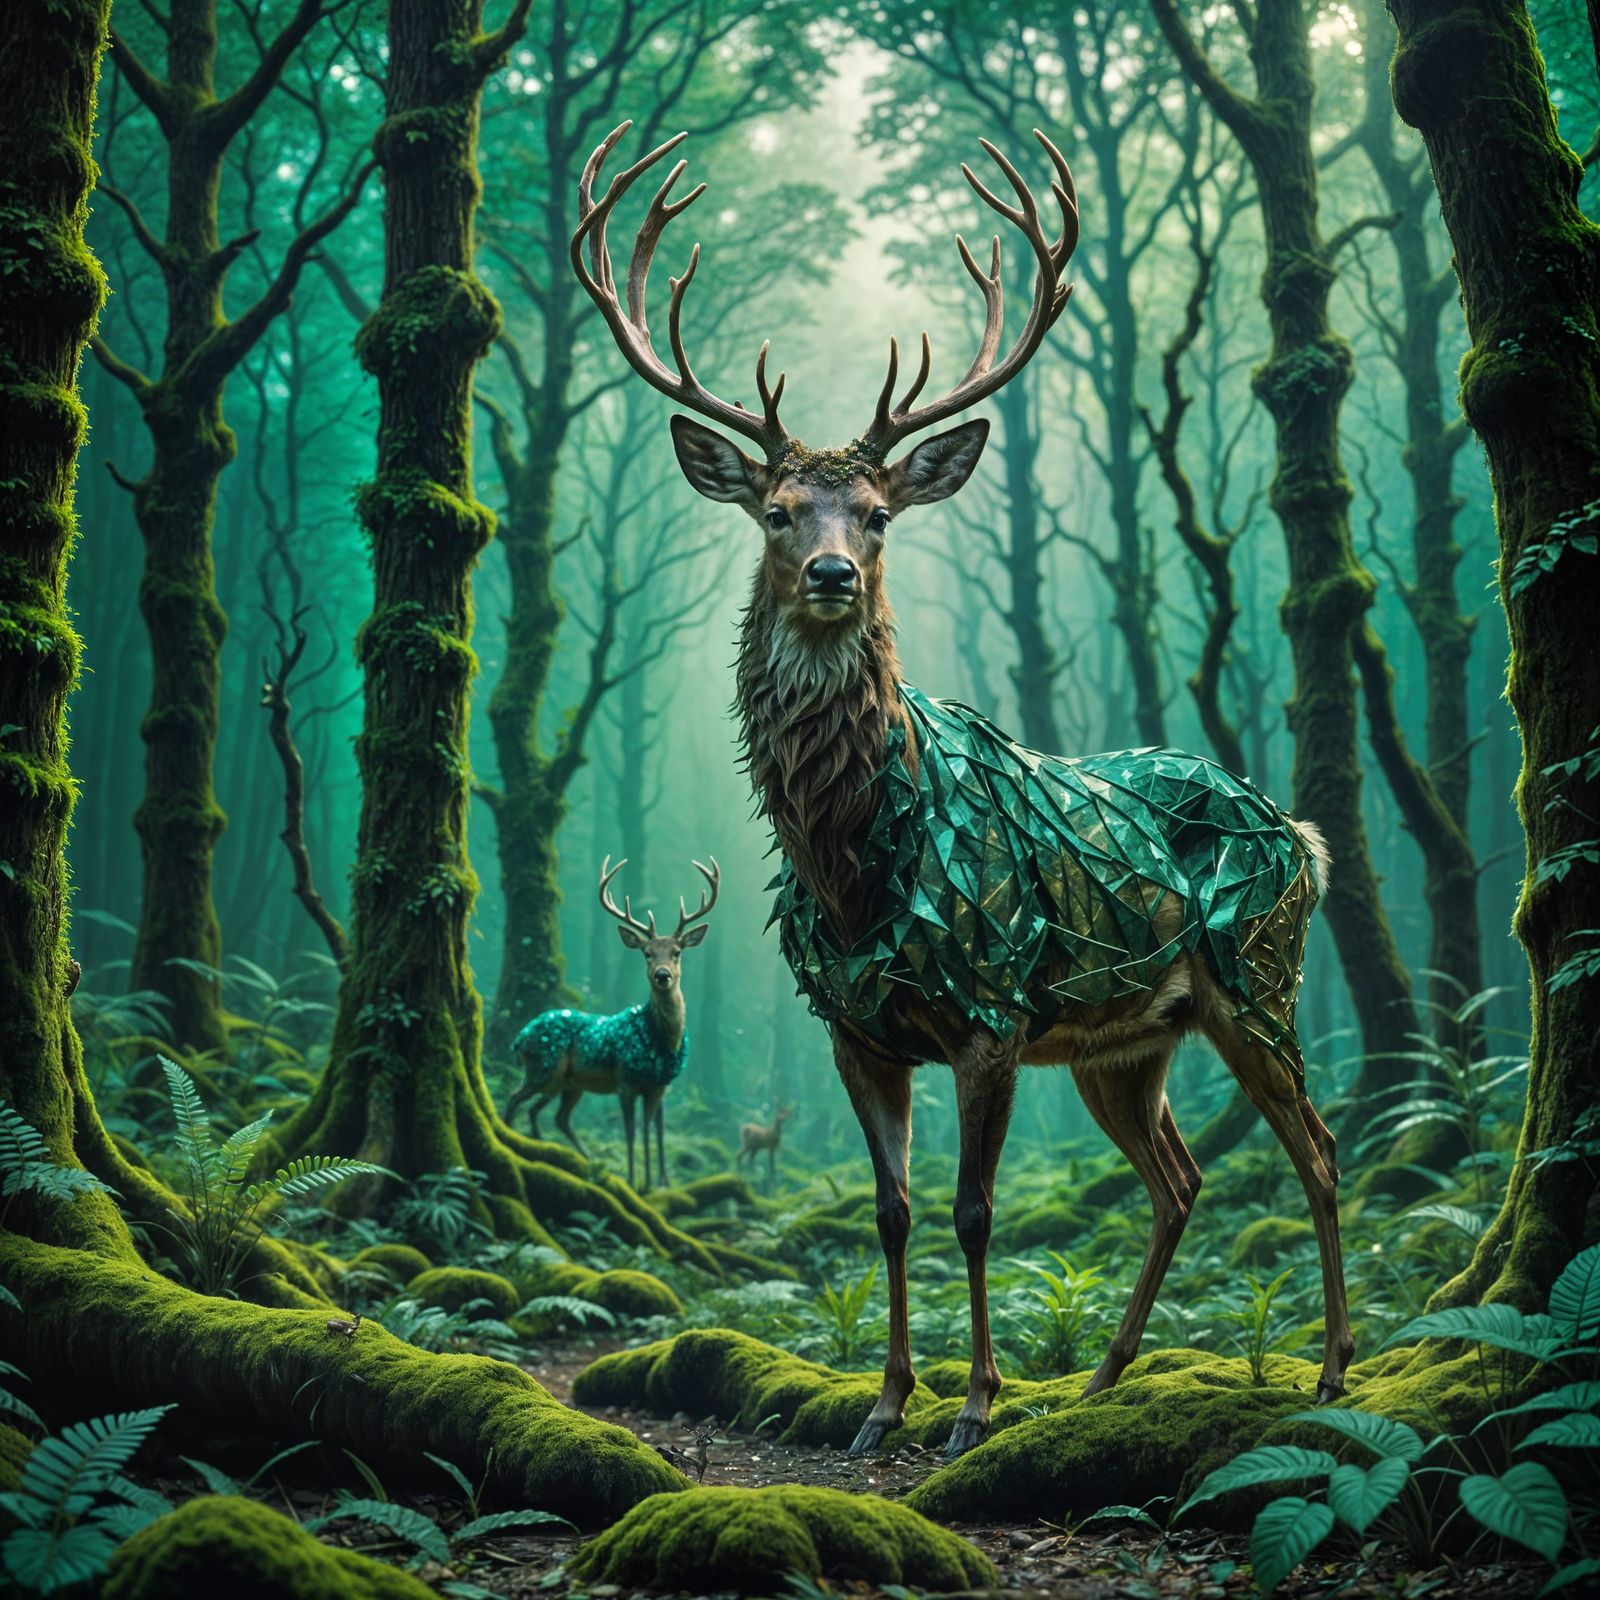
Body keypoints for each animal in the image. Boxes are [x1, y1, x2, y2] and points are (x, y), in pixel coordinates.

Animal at [507, 856, 719, 1192]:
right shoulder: (625, 1079)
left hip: (567, 1082)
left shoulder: (661, 1085)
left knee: (553, 1115)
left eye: (677, 952)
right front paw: (636, 1181)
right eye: (646, 953)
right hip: (542, 1066)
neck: (663, 1041)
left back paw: (579, 1159)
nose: (662, 975)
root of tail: (520, 1037)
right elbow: (632, 1131)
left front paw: (661, 1182)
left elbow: (656, 1130)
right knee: (515, 1099)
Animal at [569, 121, 1352, 1462]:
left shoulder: (991, 1007)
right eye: (777, 511)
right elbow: (888, 1208)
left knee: (1320, 1148)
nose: (831, 573)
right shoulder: (853, 1027)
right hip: (1125, 1041)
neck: (859, 861)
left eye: (880, 514)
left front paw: (976, 1403)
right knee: (1182, 1174)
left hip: (1256, 976)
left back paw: (1333, 1370)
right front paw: (884, 1404)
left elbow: (974, 1209)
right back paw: (1102, 1379)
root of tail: (1298, 832)